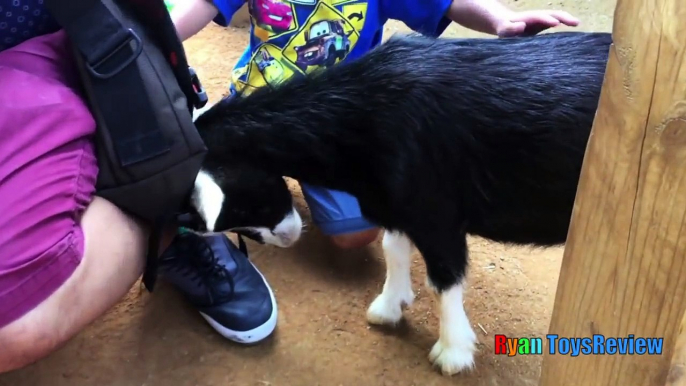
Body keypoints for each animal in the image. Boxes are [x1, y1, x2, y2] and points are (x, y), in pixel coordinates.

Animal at [188, 31, 612, 376]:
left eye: (241, 203)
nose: (288, 236)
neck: (363, 111)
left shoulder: (436, 213)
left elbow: (444, 278)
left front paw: (453, 353)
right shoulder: (393, 203)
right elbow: (394, 248)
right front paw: (389, 307)